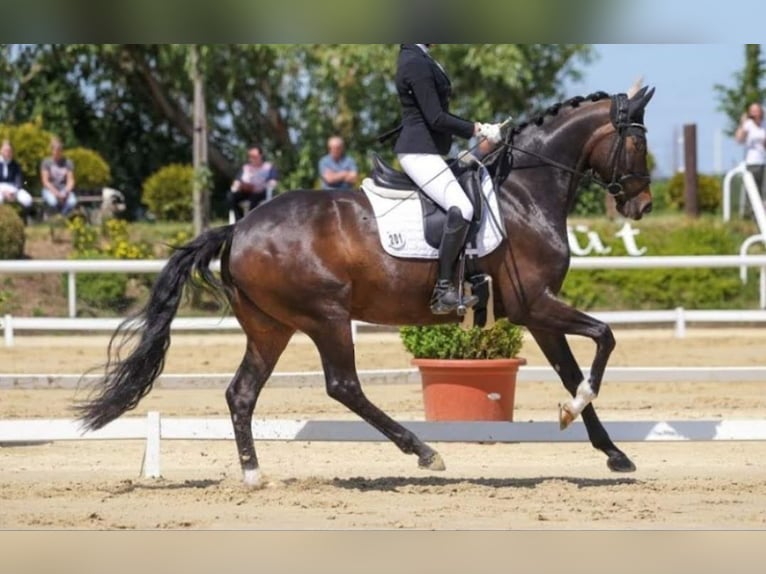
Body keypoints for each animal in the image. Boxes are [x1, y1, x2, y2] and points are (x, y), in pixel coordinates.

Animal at [76, 85, 656, 488]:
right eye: (638, 142)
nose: (642, 205)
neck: (524, 193)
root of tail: (239, 228)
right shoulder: (536, 305)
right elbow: (604, 339)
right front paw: (578, 416)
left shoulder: (536, 314)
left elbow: (573, 370)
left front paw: (611, 450)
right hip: (326, 316)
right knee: (343, 385)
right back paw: (424, 451)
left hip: (270, 327)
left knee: (242, 392)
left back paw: (254, 475)